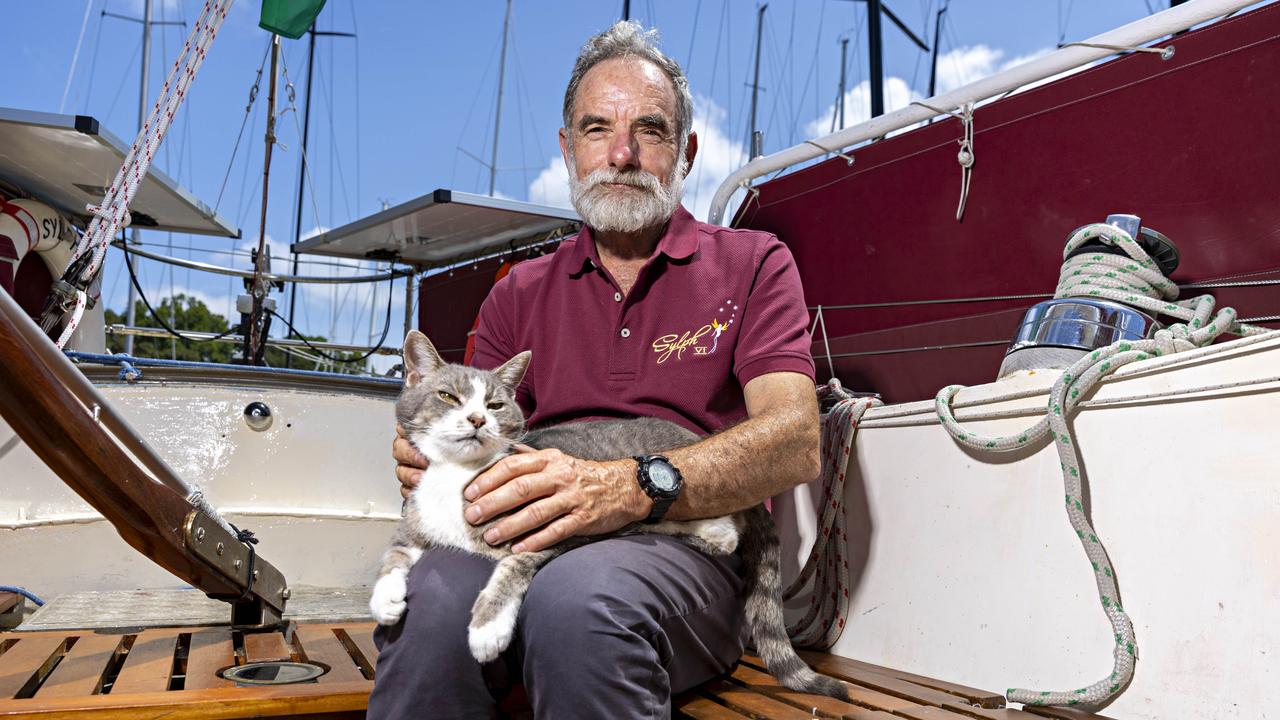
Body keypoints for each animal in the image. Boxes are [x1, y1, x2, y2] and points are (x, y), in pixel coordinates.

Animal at [371, 330, 844, 696]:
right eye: (447, 396)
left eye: (495, 405)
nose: (475, 419)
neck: (459, 475)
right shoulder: (417, 519)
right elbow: (394, 552)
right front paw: (385, 597)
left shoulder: (550, 527)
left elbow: (511, 568)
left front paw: (488, 628)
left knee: (727, 526)